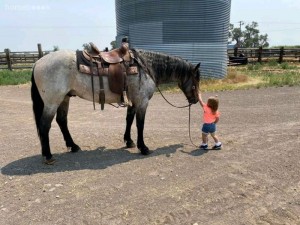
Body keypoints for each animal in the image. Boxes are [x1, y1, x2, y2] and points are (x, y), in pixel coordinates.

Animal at [31, 48, 199, 163]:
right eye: (196, 79)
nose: (196, 100)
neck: (145, 67)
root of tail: (38, 62)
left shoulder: (133, 101)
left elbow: (129, 120)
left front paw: (129, 141)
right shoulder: (142, 102)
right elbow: (140, 124)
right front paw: (143, 147)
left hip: (64, 99)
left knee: (62, 121)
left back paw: (73, 146)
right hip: (52, 102)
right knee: (45, 125)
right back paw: (48, 155)